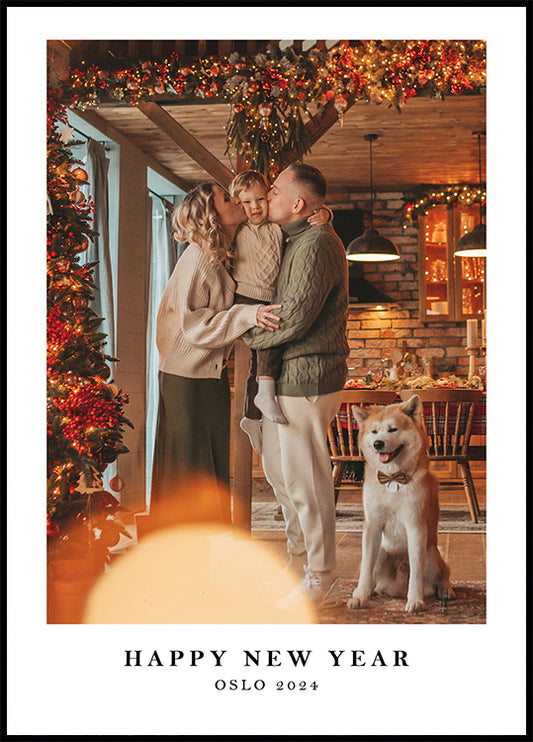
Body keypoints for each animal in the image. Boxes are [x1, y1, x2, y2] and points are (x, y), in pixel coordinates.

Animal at [348, 398, 456, 612]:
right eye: (374, 431)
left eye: (393, 429)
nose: (378, 444)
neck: (392, 478)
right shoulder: (372, 526)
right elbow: (365, 566)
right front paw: (361, 596)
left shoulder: (416, 526)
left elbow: (416, 571)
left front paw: (415, 600)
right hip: (382, 552)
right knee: (374, 576)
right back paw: (368, 590)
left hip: (431, 554)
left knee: (443, 574)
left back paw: (445, 590)